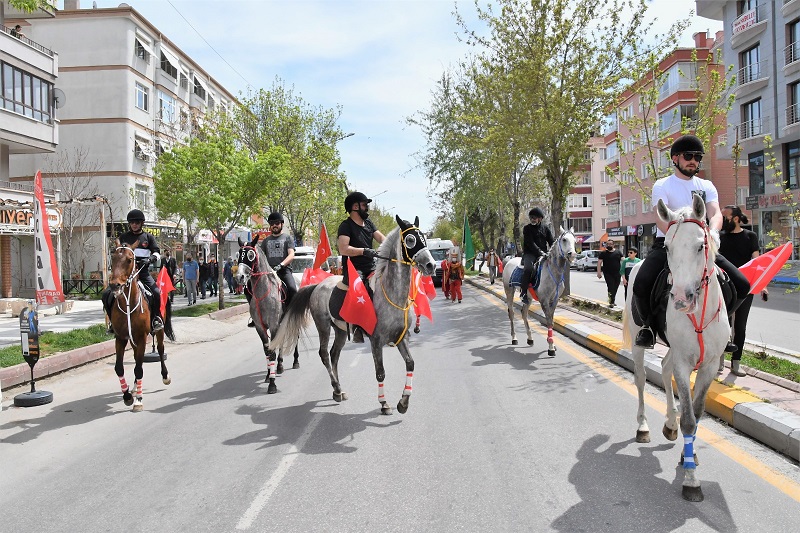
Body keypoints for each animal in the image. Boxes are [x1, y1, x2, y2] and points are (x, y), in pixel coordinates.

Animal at [108, 241, 175, 412]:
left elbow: (139, 369)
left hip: (158, 331)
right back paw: (133, 387)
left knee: (160, 350)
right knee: (137, 358)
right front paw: (127, 396)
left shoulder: (142, 337)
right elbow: (119, 368)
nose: (114, 285)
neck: (128, 302)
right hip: (132, 340)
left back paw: (165, 376)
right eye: (113, 257)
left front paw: (138, 400)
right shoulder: (121, 338)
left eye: (129, 260)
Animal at [276, 214, 438, 414]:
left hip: (340, 331)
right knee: (324, 354)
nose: (431, 265)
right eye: (410, 240)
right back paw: (336, 389)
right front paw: (384, 403)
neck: (391, 294)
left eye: (424, 237)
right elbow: (380, 372)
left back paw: (339, 390)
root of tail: (318, 286)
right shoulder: (376, 341)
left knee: (334, 354)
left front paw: (404, 402)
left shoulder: (402, 337)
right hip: (323, 326)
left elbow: (410, 363)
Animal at [624, 193, 732, 500]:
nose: (682, 298)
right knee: (641, 378)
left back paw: (669, 424)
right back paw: (643, 427)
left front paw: (689, 456)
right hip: (639, 339)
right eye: (668, 247)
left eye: (700, 245)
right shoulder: (686, 364)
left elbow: (697, 411)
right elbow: (689, 420)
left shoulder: (709, 366)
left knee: (664, 367)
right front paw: (691, 480)